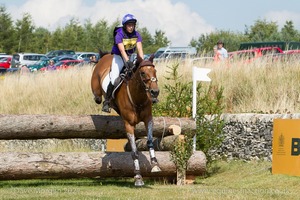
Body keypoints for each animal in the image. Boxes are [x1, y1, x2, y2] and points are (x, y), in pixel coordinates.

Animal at [91, 52, 161, 187]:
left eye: (155, 71)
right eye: (142, 73)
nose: (155, 92)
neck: (137, 97)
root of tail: (107, 55)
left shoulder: (148, 120)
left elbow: (150, 141)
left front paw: (155, 165)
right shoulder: (129, 124)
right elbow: (134, 151)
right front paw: (138, 177)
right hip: (96, 87)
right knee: (97, 97)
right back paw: (104, 103)